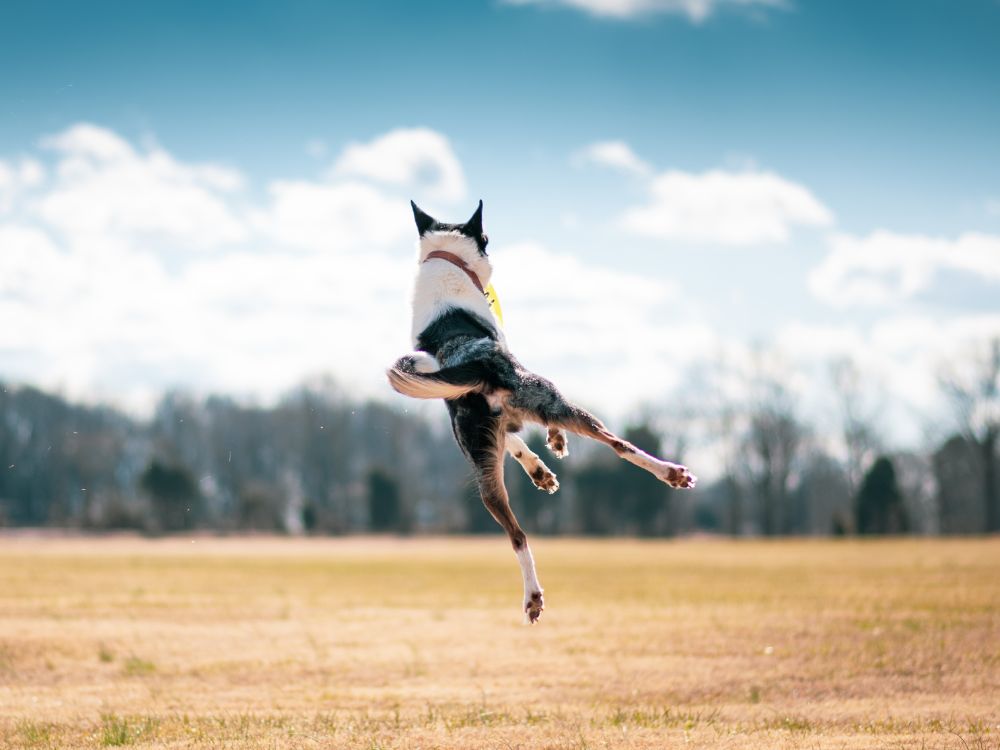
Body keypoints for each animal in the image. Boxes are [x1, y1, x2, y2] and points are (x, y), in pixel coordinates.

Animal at [388, 203, 696, 624]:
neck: (447, 262)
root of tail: (479, 364)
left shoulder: (485, 422)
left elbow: (515, 441)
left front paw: (540, 470)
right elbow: (533, 434)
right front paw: (554, 442)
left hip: (482, 471)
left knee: (517, 536)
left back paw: (532, 595)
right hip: (556, 398)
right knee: (616, 443)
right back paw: (671, 473)